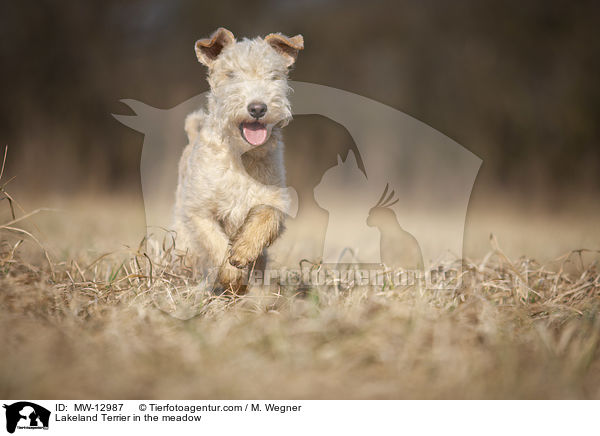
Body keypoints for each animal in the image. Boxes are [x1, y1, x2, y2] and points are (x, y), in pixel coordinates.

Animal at [173, 28, 304, 292]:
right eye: (231, 75)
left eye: (273, 76)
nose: (257, 108)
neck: (242, 157)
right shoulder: (198, 211)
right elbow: (215, 242)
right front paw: (232, 274)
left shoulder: (274, 199)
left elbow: (266, 219)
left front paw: (243, 252)